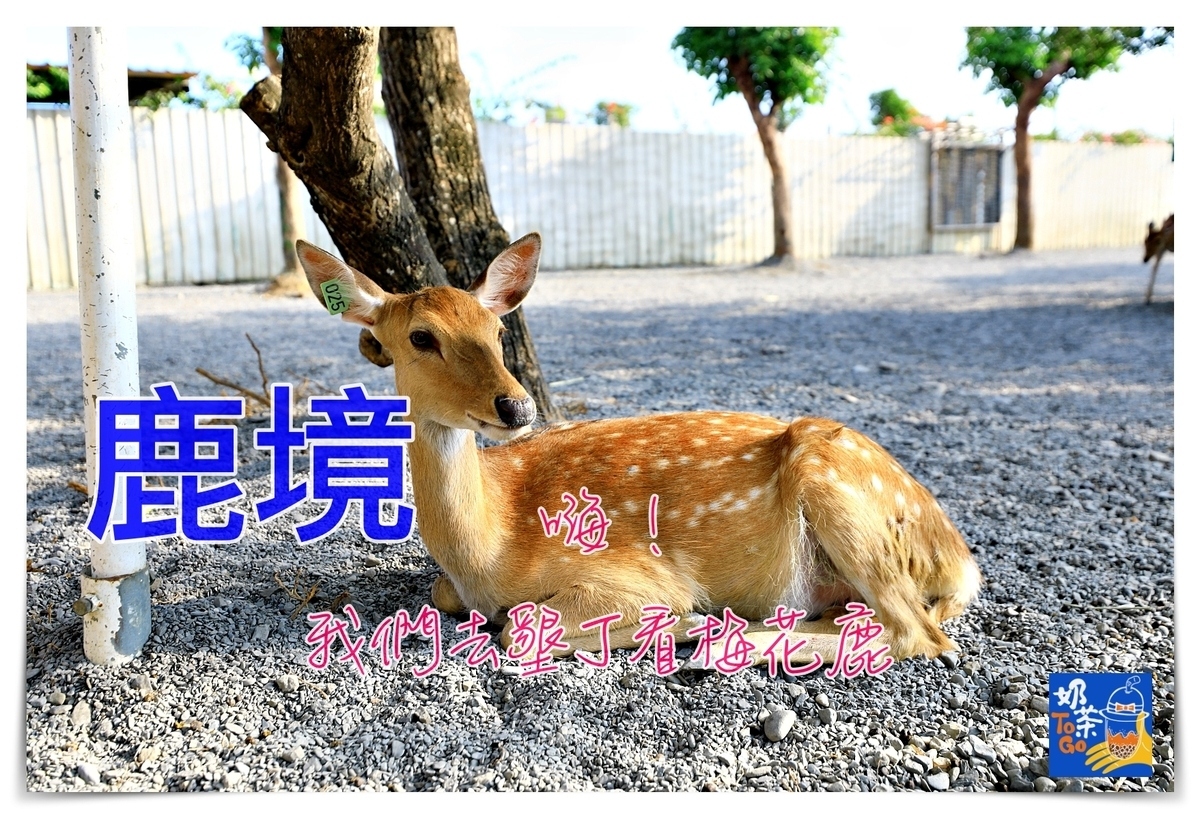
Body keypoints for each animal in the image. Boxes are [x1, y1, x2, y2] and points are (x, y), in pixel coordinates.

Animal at [296, 234, 982, 666]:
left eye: (495, 329)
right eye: (420, 337)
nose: (515, 407)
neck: (487, 551)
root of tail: (960, 559)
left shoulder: (630, 574)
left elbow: (521, 627)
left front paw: (676, 622)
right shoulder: (454, 587)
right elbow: (445, 596)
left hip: (837, 484)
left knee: (917, 634)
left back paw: (716, 641)